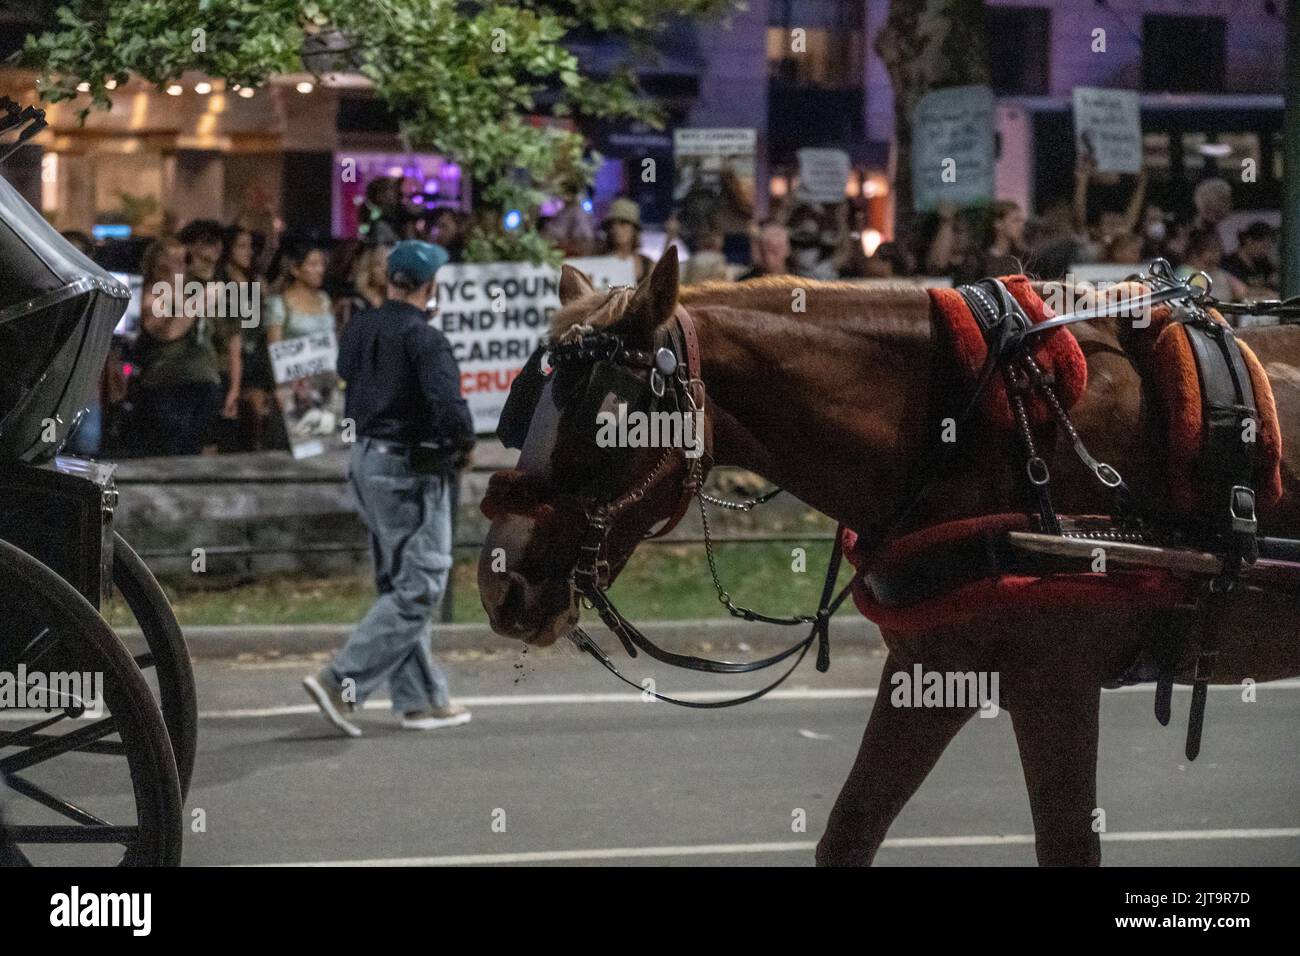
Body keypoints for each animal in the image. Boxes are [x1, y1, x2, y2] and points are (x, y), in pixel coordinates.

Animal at [477, 247, 1300, 865]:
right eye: (526, 406)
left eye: (605, 419)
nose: (500, 584)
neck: (982, 422)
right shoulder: (934, 665)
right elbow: (849, 833)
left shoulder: (1055, 676)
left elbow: (1067, 845)